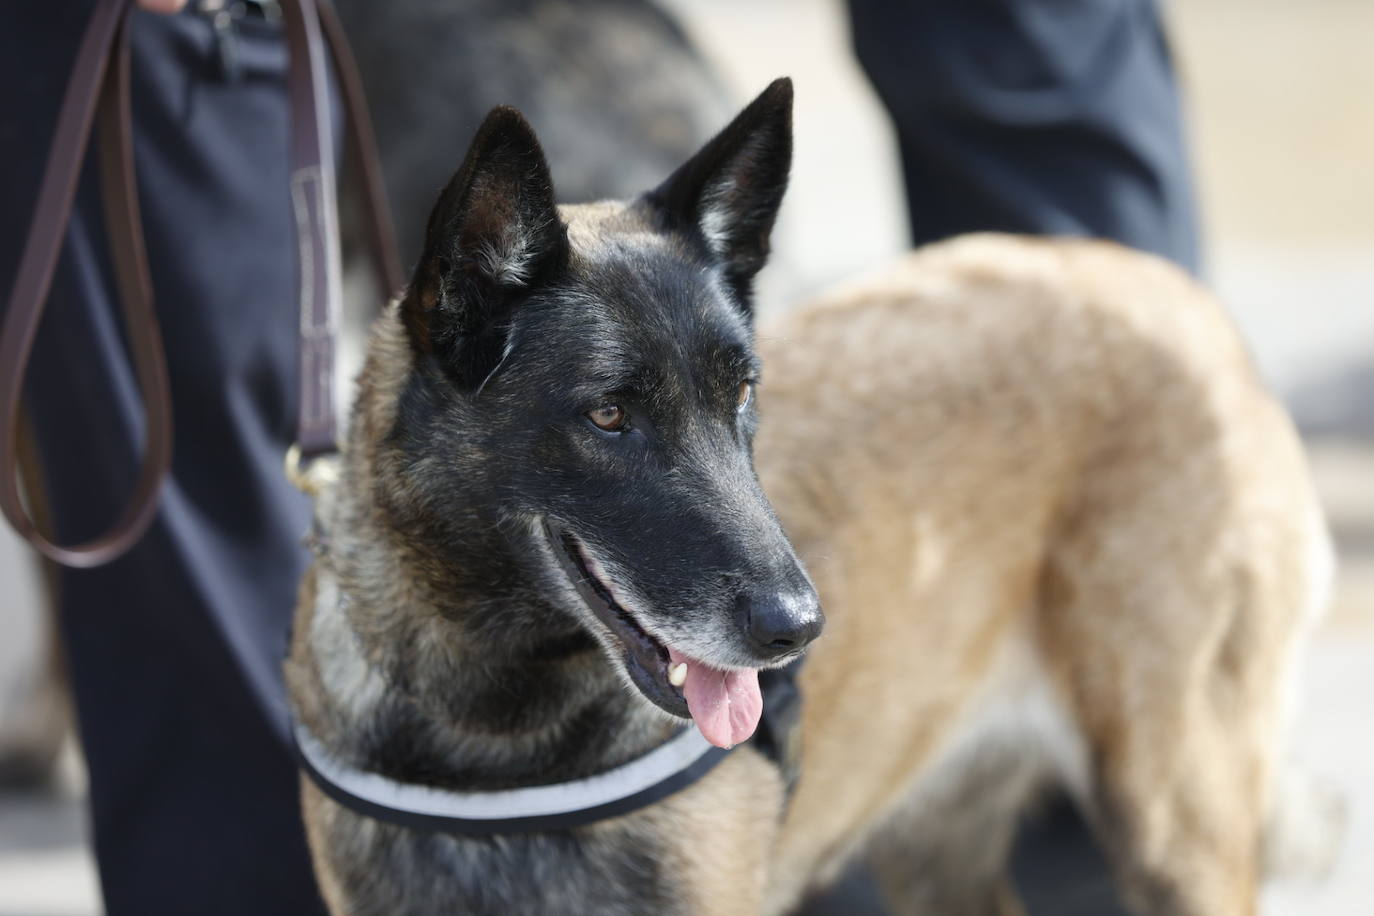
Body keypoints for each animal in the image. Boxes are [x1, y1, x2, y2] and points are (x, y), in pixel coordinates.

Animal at [287, 80, 1330, 916]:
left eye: (743, 393)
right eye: (609, 414)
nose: (798, 631)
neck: (490, 726)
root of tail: (1181, 295)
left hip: (1173, 820)